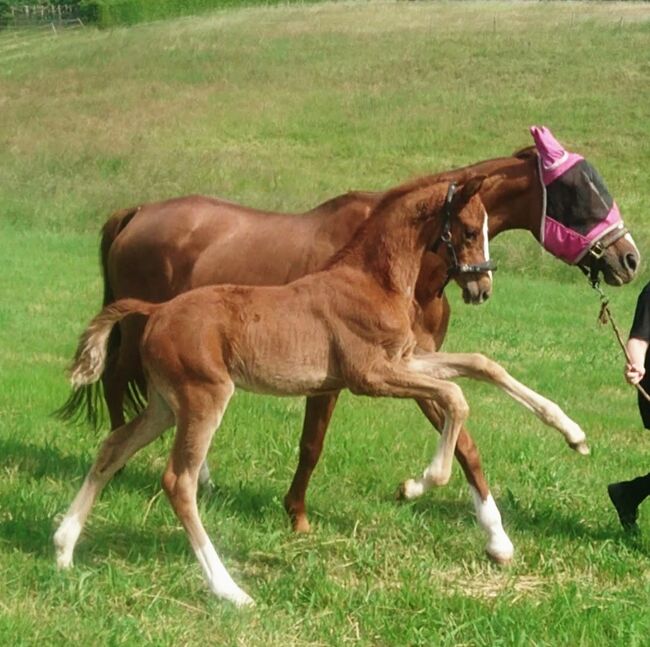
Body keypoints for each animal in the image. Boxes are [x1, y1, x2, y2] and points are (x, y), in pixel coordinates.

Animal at [58, 126, 636, 560]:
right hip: (142, 338)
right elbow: (333, 442)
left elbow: (478, 378)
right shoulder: (364, 373)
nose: (628, 259)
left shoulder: (413, 357)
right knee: (118, 388)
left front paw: (568, 439)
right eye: (579, 193)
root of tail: (135, 211)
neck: (401, 271)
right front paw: (306, 513)